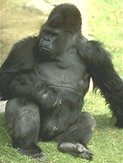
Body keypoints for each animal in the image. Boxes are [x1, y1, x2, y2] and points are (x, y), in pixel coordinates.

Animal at [0, 3, 123, 161]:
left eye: (54, 35)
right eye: (45, 32)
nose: (45, 40)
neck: (65, 49)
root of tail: (46, 139)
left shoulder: (96, 53)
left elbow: (111, 84)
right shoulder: (24, 47)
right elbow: (5, 78)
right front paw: (45, 95)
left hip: (59, 135)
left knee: (88, 119)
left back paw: (71, 145)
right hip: (35, 136)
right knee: (23, 102)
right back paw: (28, 147)